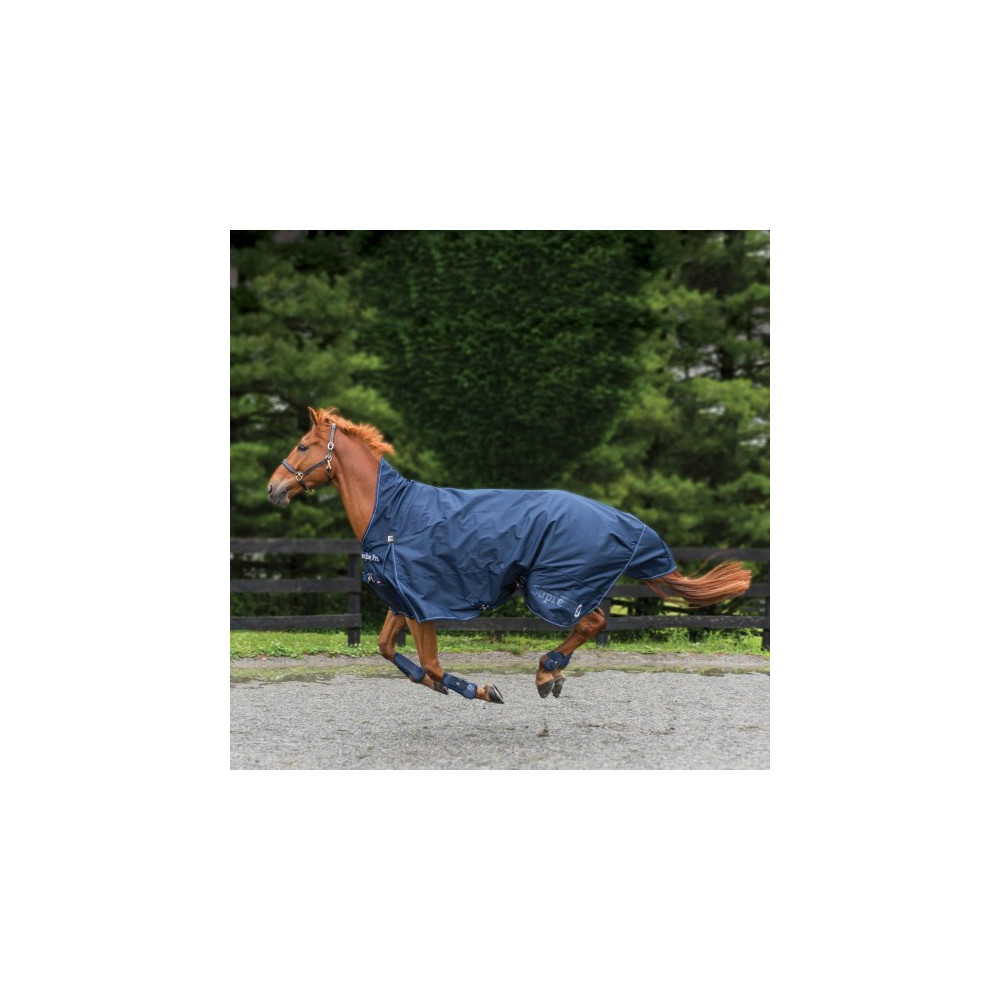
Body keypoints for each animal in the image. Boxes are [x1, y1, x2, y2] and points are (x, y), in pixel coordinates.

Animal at [267, 406, 752, 705]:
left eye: (303, 446)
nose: (273, 488)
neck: (392, 516)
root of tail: (627, 524)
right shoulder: (402, 598)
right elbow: (390, 650)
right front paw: (443, 686)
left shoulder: (422, 604)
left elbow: (433, 665)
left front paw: (481, 690)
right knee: (593, 623)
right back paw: (551, 675)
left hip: (552, 588)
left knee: (593, 622)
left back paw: (546, 672)